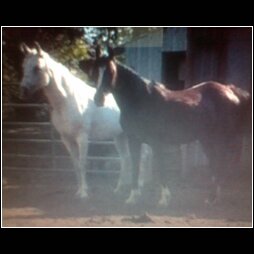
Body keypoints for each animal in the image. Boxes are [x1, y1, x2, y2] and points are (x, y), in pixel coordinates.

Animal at [19, 42, 152, 199]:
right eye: (24, 66)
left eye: (37, 68)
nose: (23, 91)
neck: (67, 100)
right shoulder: (66, 139)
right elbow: (76, 165)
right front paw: (78, 190)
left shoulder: (82, 137)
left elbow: (82, 164)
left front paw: (84, 193)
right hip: (120, 136)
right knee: (126, 159)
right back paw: (119, 189)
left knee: (142, 157)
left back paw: (140, 186)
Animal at [81, 47, 250, 206]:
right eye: (95, 71)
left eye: (110, 71)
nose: (98, 99)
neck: (141, 99)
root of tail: (230, 90)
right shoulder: (134, 140)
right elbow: (136, 166)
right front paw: (132, 198)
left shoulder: (156, 143)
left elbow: (161, 168)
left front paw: (163, 199)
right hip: (207, 140)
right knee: (216, 164)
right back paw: (212, 198)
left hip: (219, 139)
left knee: (220, 164)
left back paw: (213, 198)